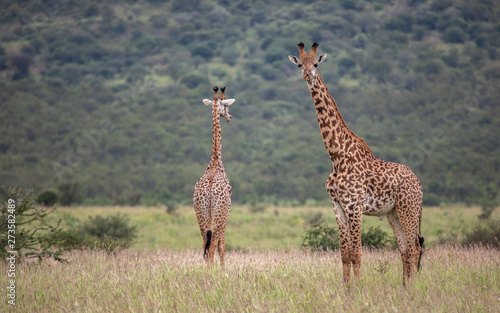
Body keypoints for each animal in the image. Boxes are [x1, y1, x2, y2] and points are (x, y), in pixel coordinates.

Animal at [288, 42, 424, 284]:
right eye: (299, 64)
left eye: (316, 64)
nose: (307, 75)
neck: (337, 155)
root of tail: (419, 184)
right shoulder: (338, 206)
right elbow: (345, 254)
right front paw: (347, 288)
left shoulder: (354, 206)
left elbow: (357, 253)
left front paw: (359, 288)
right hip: (394, 213)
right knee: (405, 250)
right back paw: (405, 288)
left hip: (408, 209)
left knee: (415, 248)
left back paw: (414, 289)